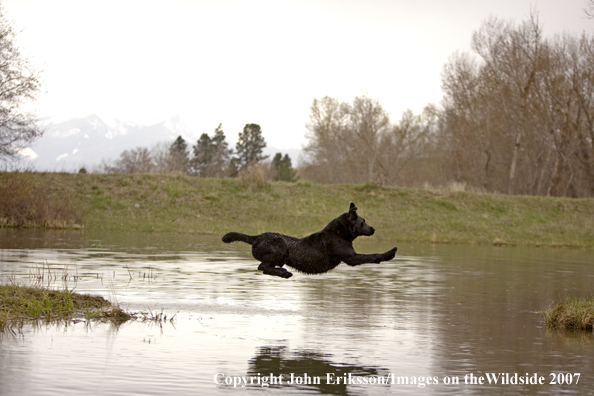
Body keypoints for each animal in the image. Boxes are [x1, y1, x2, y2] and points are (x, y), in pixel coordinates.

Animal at [220, 204, 396, 278]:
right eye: (363, 222)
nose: (373, 228)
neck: (338, 233)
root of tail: (256, 237)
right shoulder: (351, 258)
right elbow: (372, 256)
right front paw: (389, 253)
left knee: (265, 268)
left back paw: (283, 272)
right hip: (280, 246)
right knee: (262, 267)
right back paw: (284, 273)